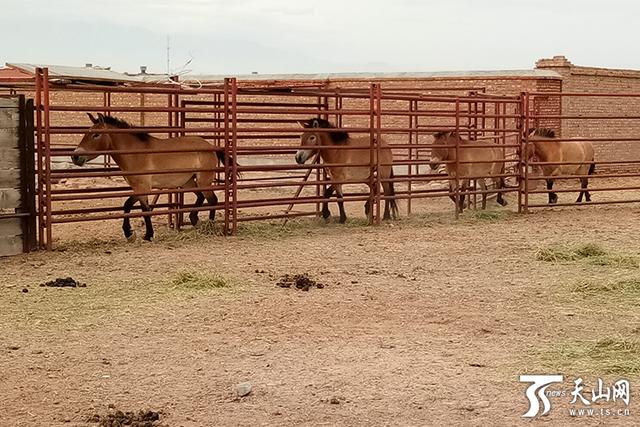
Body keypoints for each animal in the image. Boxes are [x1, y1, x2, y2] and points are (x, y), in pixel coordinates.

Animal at [73, 113, 232, 241]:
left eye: (96, 135)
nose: (75, 157)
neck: (135, 153)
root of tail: (211, 146)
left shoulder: (142, 187)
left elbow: (136, 207)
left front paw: (142, 234)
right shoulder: (137, 188)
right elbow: (135, 207)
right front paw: (134, 233)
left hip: (203, 180)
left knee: (212, 199)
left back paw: (210, 225)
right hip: (188, 181)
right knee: (201, 197)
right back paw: (194, 220)